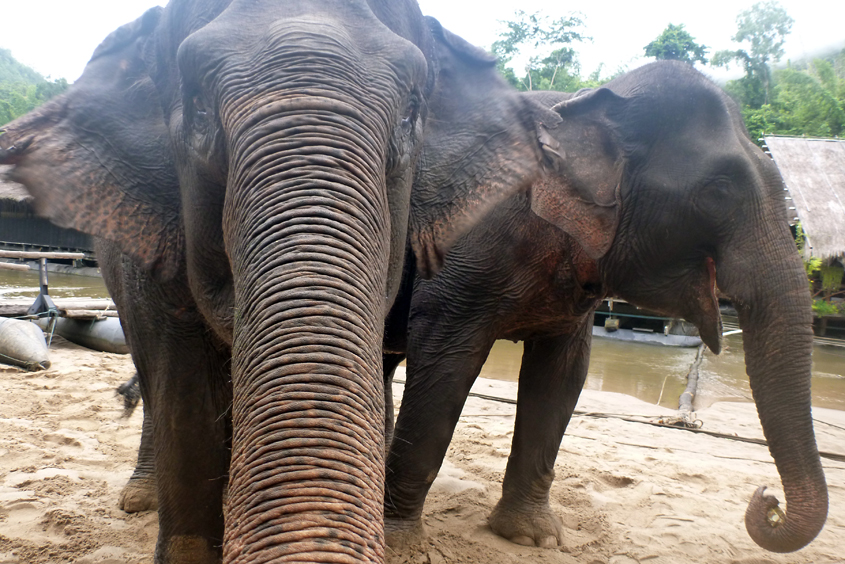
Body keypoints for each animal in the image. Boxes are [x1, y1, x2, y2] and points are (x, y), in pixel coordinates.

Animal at [380, 59, 828, 552]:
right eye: (719, 191)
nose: (767, 498)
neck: (583, 102)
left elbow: (561, 377)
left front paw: (535, 537)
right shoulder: (462, 256)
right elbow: (444, 364)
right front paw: (398, 543)